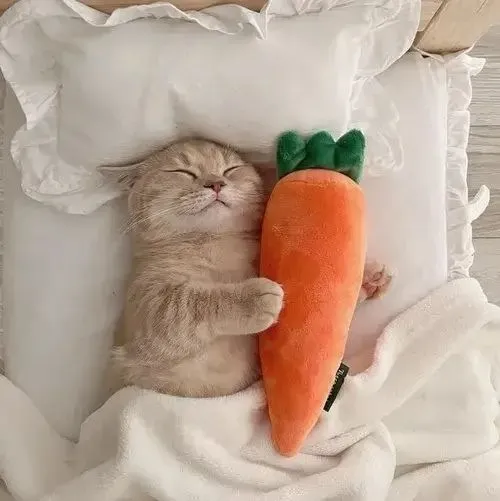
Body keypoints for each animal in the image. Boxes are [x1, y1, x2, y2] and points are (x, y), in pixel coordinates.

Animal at [104, 139, 391, 398]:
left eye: (230, 170)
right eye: (182, 172)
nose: (216, 183)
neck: (214, 244)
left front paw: (368, 279)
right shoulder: (150, 311)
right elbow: (189, 304)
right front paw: (254, 298)